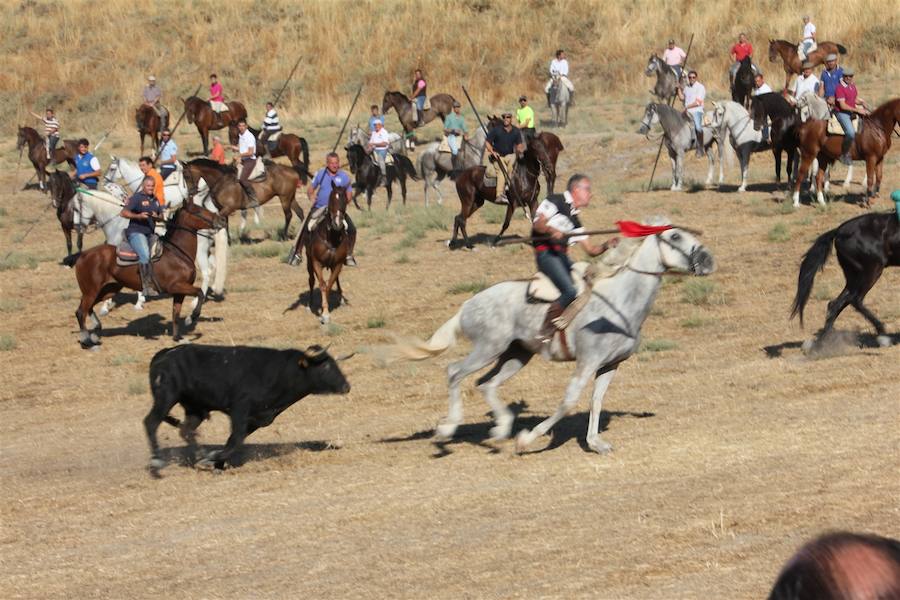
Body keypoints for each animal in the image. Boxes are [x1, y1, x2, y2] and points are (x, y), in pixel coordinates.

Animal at [74, 205, 229, 350]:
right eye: (198, 211)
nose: (222, 220)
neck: (178, 253)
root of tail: (83, 255)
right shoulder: (176, 286)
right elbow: (200, 292)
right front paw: (191, 318)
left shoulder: (180, 291)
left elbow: (176, 313)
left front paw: (178, 337)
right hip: (91, 291)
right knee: (81, 312)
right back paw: (87, 341)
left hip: (108, 290)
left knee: (87, 308)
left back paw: (95, 331)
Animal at [298, 186, 350, 324]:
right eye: (331, 199)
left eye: (345, 201)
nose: (337, 224)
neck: (331, 237)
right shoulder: (316, 262)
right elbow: (322, 284)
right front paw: (324, 313)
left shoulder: (338, 263)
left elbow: (330, 284)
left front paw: (325, 310)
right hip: (309, 261)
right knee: (311, 280)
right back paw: (309, 304)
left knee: (335, 280)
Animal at [384, 221, 712, 454]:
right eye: (675, 237)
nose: (708, 260)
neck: (618, 303)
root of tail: (467, 304)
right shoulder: (587, 362)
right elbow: (569, 402)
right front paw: (528, 439)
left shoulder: (610, 365)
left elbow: (596, 400)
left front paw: (596, 443)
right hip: (488, 348)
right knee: (454, 372)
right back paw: (448, 430)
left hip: (516, 355)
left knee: (486, 384)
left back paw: (500, 430)